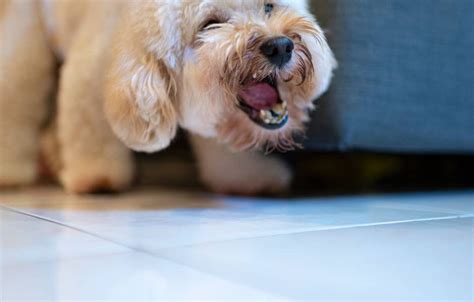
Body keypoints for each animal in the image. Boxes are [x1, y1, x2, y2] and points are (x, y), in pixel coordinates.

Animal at [0, 0, 336, 195]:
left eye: (269, 6)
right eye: (211, 23)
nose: (280, 46)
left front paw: (248, 176)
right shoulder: (89, 75)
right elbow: (90, 130)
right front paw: (97, 178)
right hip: (26, 39)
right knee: (16, 97)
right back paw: (12, 173)